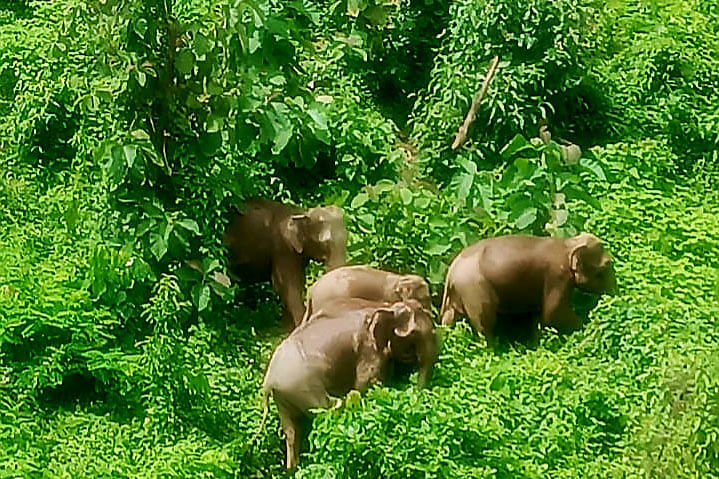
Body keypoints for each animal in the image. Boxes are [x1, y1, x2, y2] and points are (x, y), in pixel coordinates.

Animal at [225, 198, 348, 326]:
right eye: (324, 243)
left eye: (346, 238)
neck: (301, 213)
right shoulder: (282, 248)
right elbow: (287, 284)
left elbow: (297, 282)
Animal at [262, 298, 436, 470]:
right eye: (413, 334)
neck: (388, 307)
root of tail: (268, 381)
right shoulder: (368, 350)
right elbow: (366, 385)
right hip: (303, 386)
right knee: (328, 409)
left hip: (283, 398)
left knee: (292, 431)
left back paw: (293, 469)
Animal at [442, 234, 616, 346]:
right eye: (606, 265)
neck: (569, 243)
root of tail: (451, 271)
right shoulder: (557, 276)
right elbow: (553, 313)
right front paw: (586, 328)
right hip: (475, 289)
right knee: (485, 321)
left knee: (449, 317)